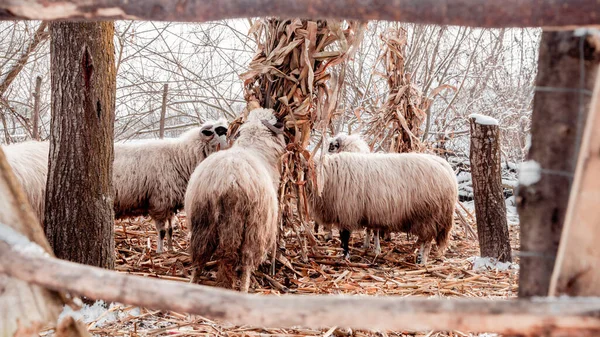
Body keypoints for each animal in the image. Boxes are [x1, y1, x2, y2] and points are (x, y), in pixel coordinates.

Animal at [113, 118, 230, 252]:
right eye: (221, 131)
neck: (181, 158)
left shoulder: (170, 203)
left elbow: (170, 230)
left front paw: (171, 249)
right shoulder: (160, 203)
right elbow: (162, 231)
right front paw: (160, 251)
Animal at [185, 107, 286, 292]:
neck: (253, 146)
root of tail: (229, 182)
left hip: (202, 221)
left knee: (200, 258)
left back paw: (193, 281)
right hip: (254, 228)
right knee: (247, 262)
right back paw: (244, 288)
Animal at [308, 151, 458, 264]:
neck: (329, 175)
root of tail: (445, 166)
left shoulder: (347, 212)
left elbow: (344, 237)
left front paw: (345, 256)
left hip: (429, 216)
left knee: (427, 241)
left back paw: (422, 261)